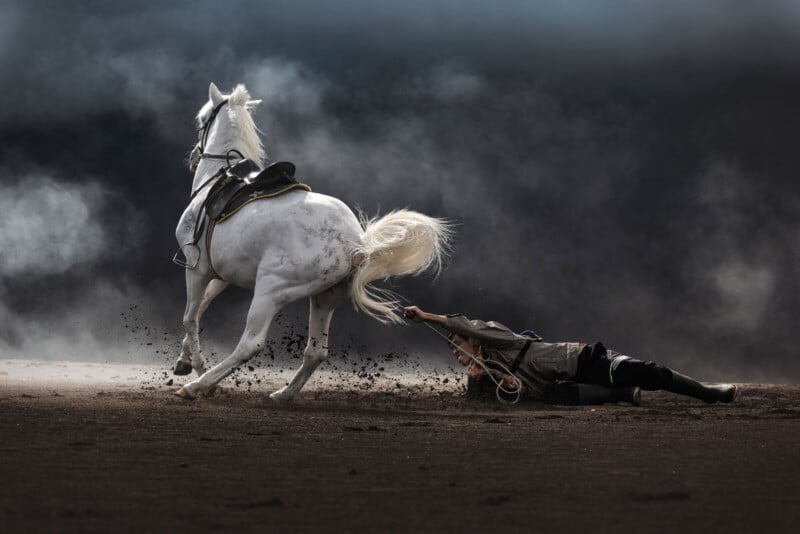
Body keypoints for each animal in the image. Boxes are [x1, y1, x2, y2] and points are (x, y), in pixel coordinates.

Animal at [173, 82, 450, 402]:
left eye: (202, 119)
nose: (193, 158)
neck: (218, 180)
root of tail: (356, 243)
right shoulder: (221, 274)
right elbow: (203, 306)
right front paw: (183, 361)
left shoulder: (197, 268)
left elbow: (190, 317)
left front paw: (196, 366)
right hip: (324, 297)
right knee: (316, 352)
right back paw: (283, 394)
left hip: (270, 292)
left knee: (250, 344)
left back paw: (199, 385)